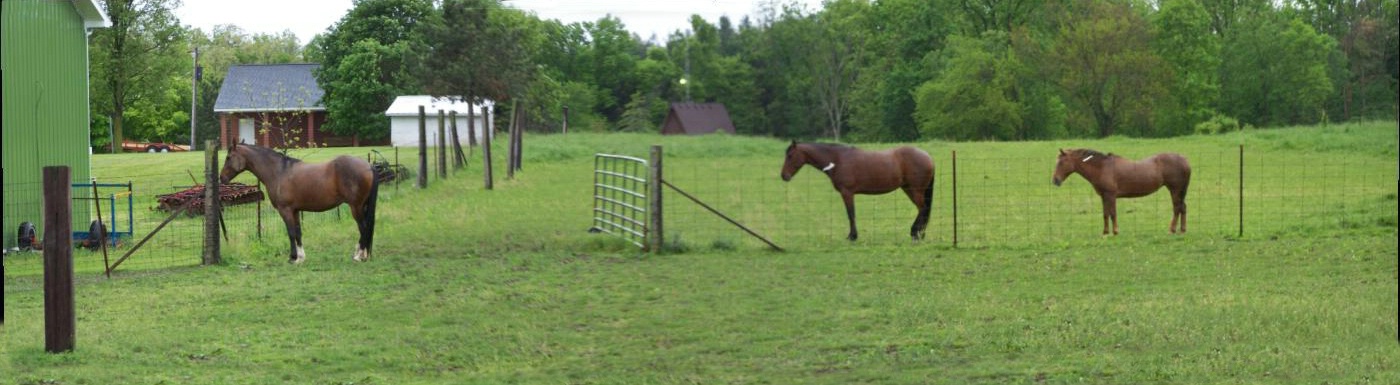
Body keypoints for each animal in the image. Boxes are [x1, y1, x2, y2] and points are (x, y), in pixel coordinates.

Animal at [221, 143, 380, 264]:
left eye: (228, 157)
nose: (222, 178)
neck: (279, 172)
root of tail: (368, 165)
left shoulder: (285, 210)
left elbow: (291, 232)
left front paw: (293, 258)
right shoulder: (295, 210)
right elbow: (298, 232)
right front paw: (301, 257)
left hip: (356, 207)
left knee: (364, 228)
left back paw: (359, 256)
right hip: (362, 206)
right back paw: (363, 254)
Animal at [784, 142, 935, 240]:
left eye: (790, 155)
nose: (784, 176)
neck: (838, 159)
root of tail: (927, 156)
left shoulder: (847, 193)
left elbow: (851, 214)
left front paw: (852, 236)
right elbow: (851, 214)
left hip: (915, 190)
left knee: (922, 208)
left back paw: (915, 233)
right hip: (909, 189)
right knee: (923, 209)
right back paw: (920, 233)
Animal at [1052, 149, 1187, 235]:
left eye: (1061, 162)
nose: (1055, 180)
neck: (1102, 167)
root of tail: (1184, 159)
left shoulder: (1111, 195)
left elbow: (1113, 213)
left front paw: (1115, 231)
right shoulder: (1104, 196)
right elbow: (1106, 214)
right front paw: (1105, 232)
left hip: (1174, 190)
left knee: (1177, 208)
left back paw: (1172, 230)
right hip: (1179, 191)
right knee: (1182, 207)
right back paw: (1182, 230)